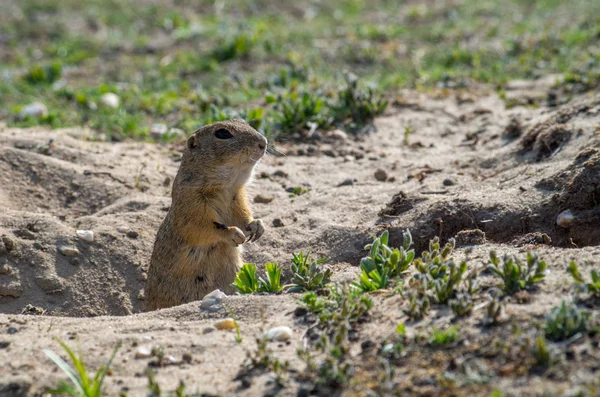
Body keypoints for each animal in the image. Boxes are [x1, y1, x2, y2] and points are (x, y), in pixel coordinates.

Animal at [145, 117, 268, 310]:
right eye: (222, 133)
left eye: (243, 121)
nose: (263, 143)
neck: (226, 186)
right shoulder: (192, 205)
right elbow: (204, 228)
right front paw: (234, 234)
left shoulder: (237, 198)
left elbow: (243, 215)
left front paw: (257, 226)